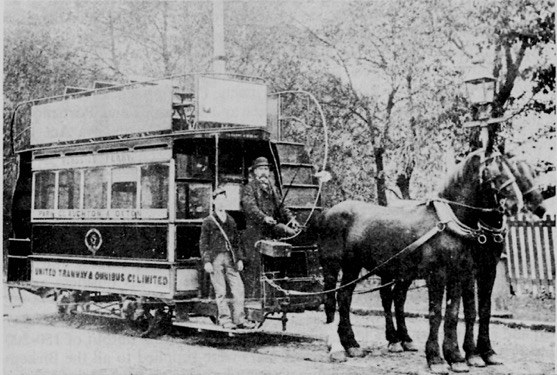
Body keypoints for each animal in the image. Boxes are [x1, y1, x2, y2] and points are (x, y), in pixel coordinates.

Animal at [318, 149, 520, 374]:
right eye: (494, 173)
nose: (515, 204)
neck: (447, 223)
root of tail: (327, 212)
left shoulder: (459, 274)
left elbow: (453, 313)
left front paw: (456, 357)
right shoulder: (438, 275)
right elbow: (437, 313)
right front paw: (437, 358)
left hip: (354, 267)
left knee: (346, 298)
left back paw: (353, 344)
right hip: (332, 266)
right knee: (331, 300)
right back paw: (337, 348)